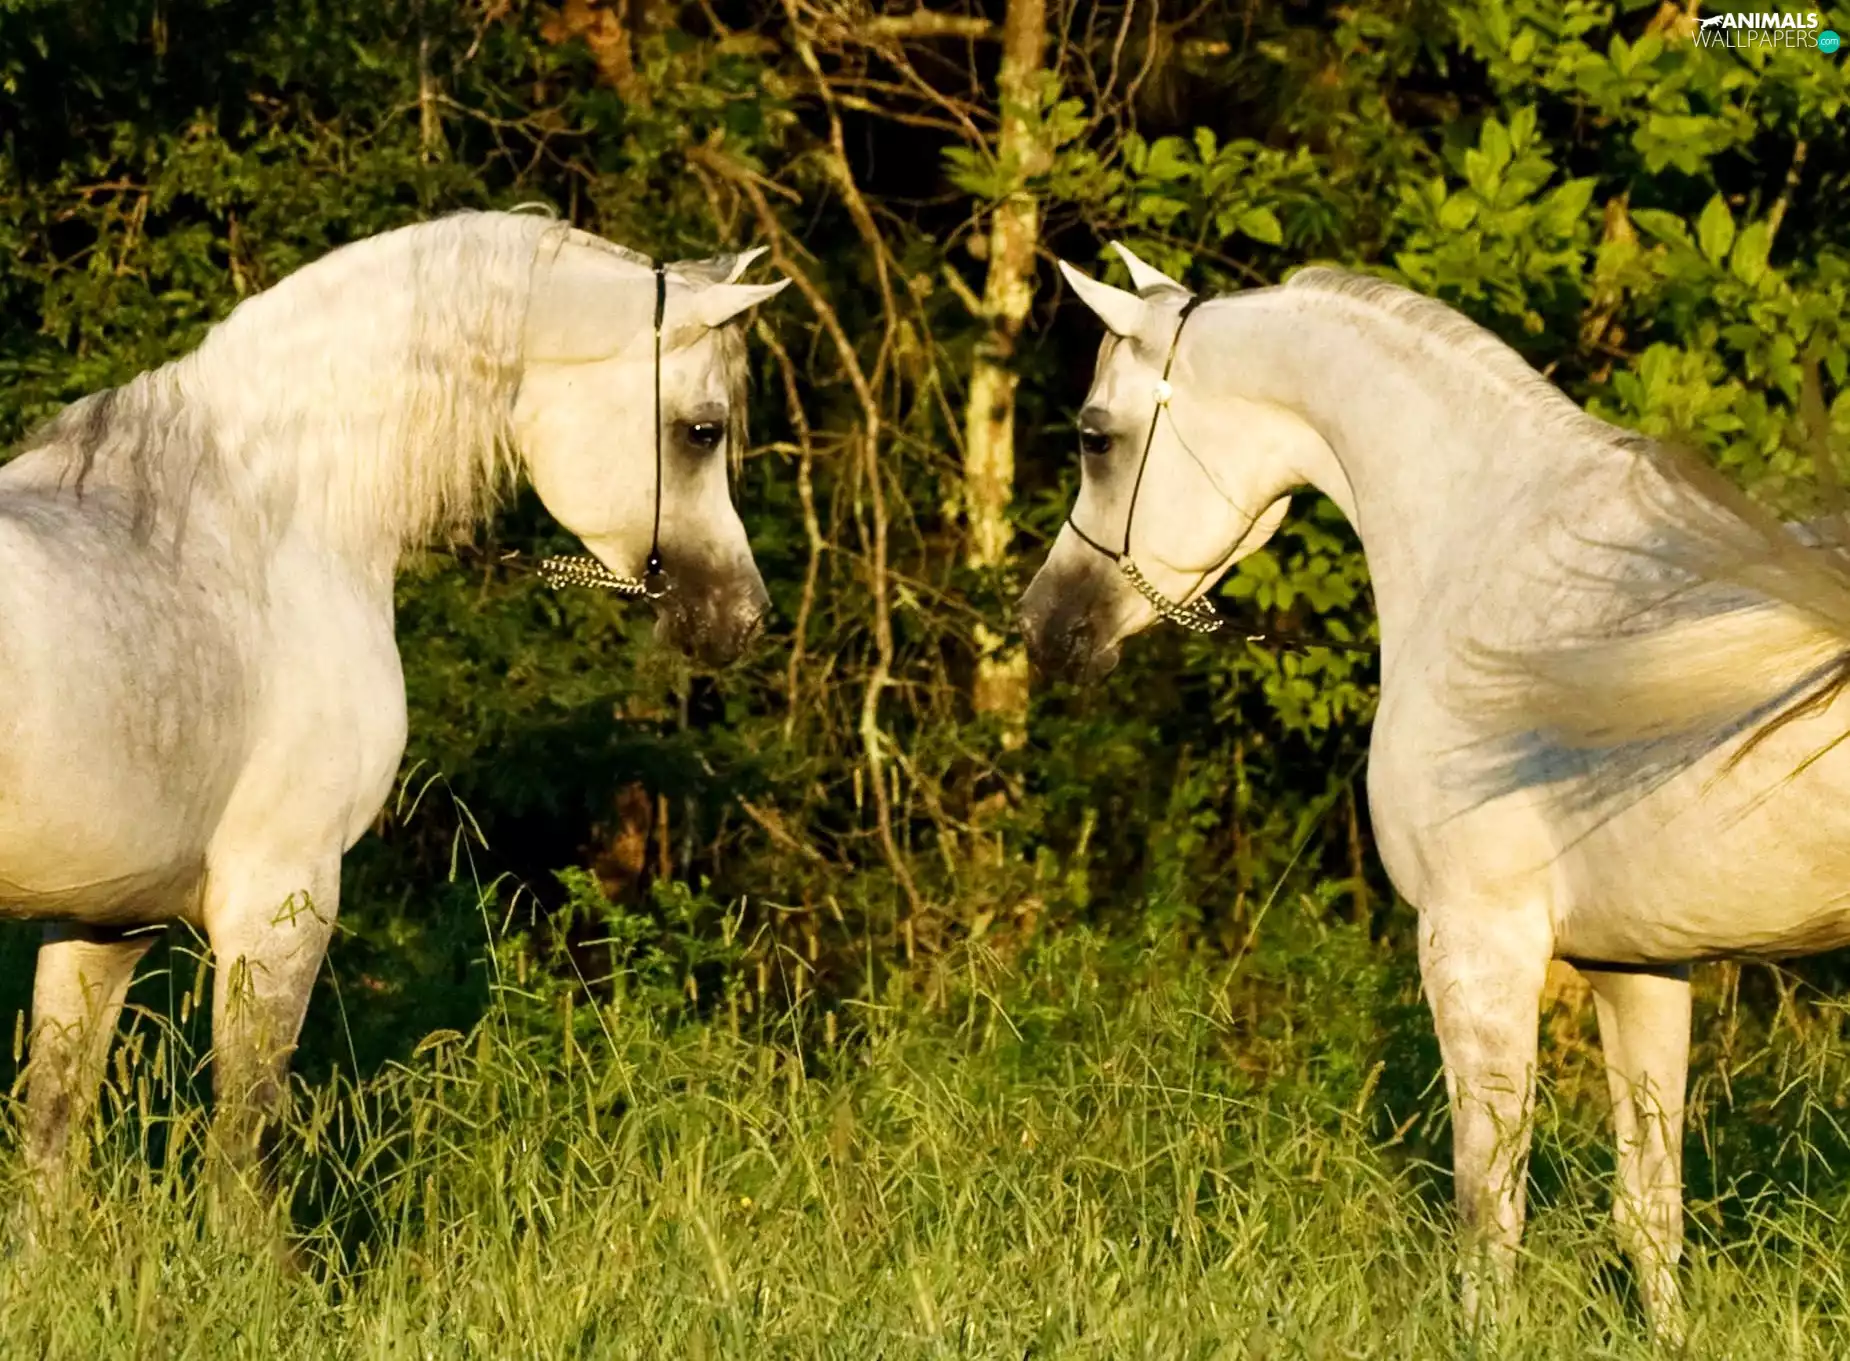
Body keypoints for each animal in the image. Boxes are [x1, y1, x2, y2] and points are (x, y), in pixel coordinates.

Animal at [0, 210, 786, 1216]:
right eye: (701, 431)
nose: (742, 619)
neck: (265, 526)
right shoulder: (278, 900)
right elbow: (243, 1149)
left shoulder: (101, 923)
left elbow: (52, 1147)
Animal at [1020, 243, 1850, 1336]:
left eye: (1094, 436)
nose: (1045, 627)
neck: (1489, 546)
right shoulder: (1636, 966)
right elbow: (1648, 1214)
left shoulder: (1478, 944)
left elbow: (1487, 1218)